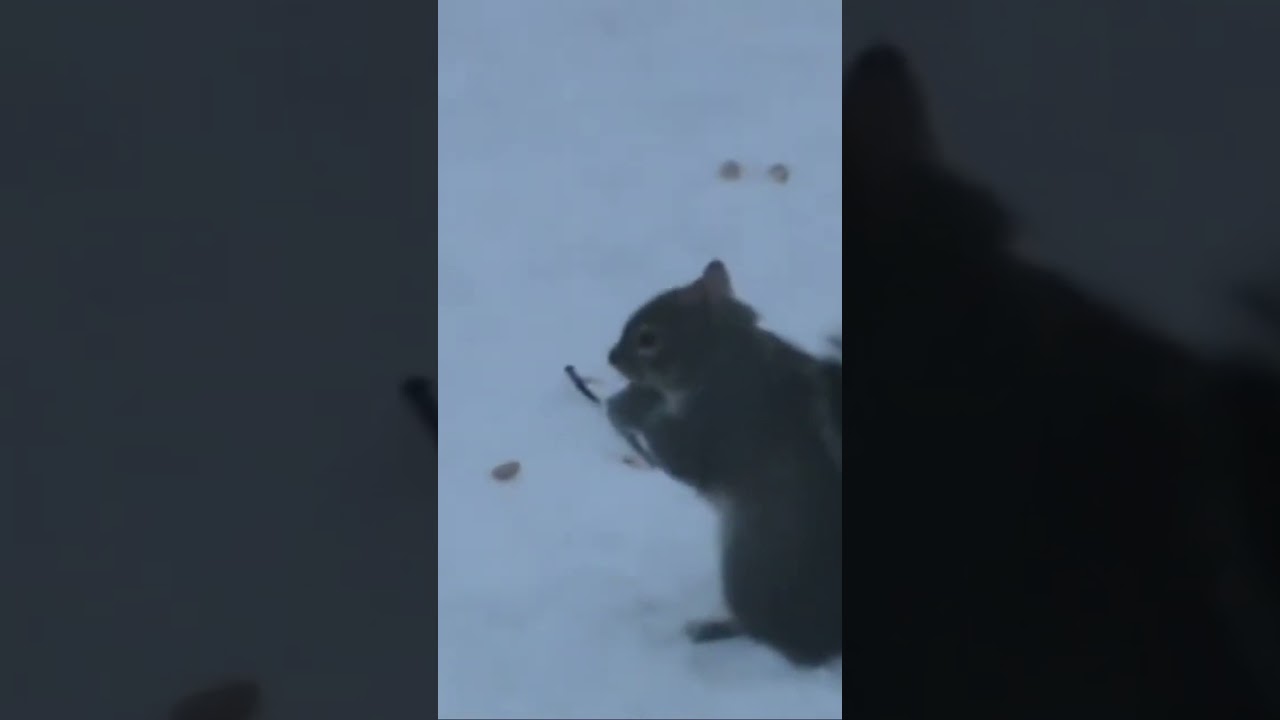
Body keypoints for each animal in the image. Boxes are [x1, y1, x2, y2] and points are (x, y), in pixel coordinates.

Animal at [603, 260, 842, 667]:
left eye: (649, 338)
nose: (612, 358)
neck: (722, 355)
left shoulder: (721, 419)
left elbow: (682, 455)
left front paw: (632, 405)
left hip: (750, 566)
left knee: (771, 633)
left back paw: (715, 629)